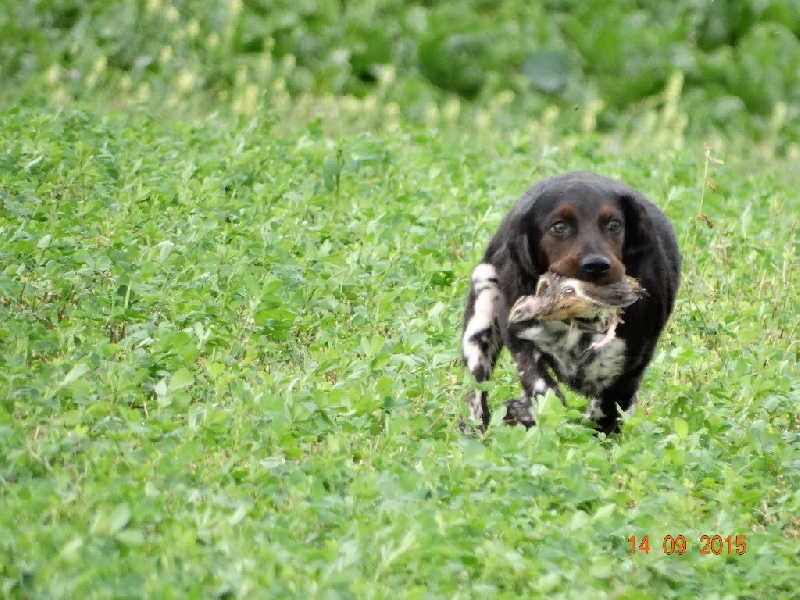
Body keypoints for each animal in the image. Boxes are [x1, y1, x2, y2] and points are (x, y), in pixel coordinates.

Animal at [462, 171, 680, 434]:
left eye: (614, 224)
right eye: (559, 226)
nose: (596, 265)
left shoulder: (629, 365)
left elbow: (606, 411)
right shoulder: (518, 334)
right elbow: (539, 384)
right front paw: (532, 412)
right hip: (480, 319)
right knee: (477, 390)